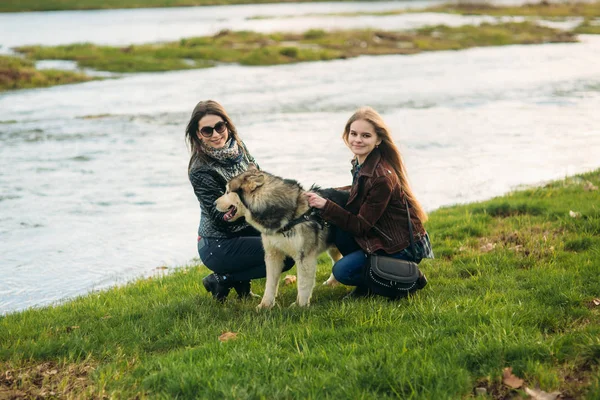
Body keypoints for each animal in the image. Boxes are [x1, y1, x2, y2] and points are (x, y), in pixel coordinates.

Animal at [214, 164, 346, 308]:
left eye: (227, 192)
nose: (214, 203)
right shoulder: (273, 255)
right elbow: (270, 283)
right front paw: (265, 305)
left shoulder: (305, 257)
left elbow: (303, 284)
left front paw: (300, 306)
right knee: (337, 260)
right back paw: (332, 282)